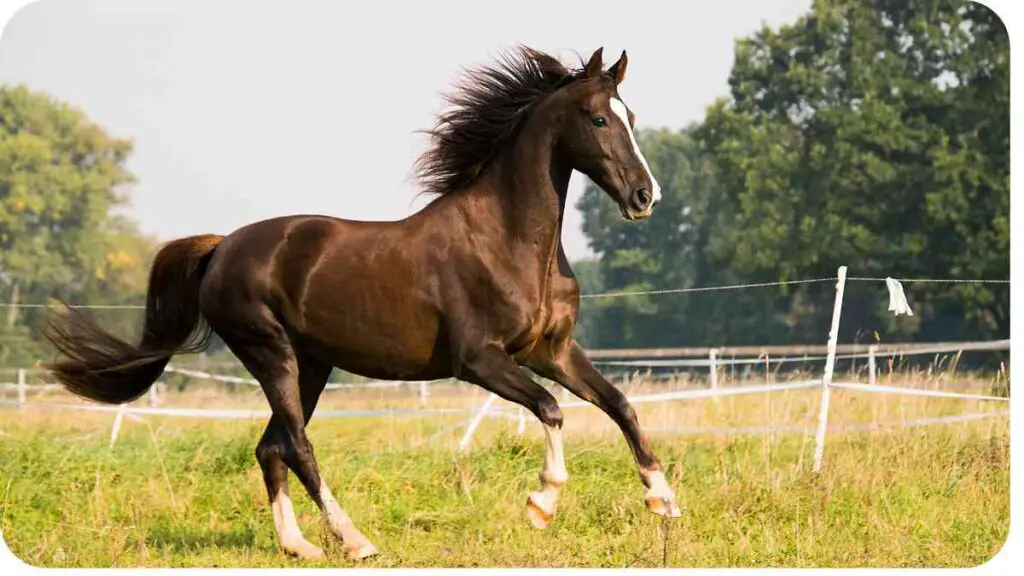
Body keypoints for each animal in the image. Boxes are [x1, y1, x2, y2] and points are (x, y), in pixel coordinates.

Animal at [41, 47, 679, 557]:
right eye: (599, 118)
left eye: (631, 117)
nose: (644, 197)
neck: (508, 241)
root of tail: (222, 248)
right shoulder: (480, 361)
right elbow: (550, 409)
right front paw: (541, 504)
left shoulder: (551, 351)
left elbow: (620, 404)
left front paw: (664, 499)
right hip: (271, 354)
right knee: (296, 446)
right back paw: (355, 540)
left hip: (312, 365)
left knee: (270, 447)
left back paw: (298, 546)